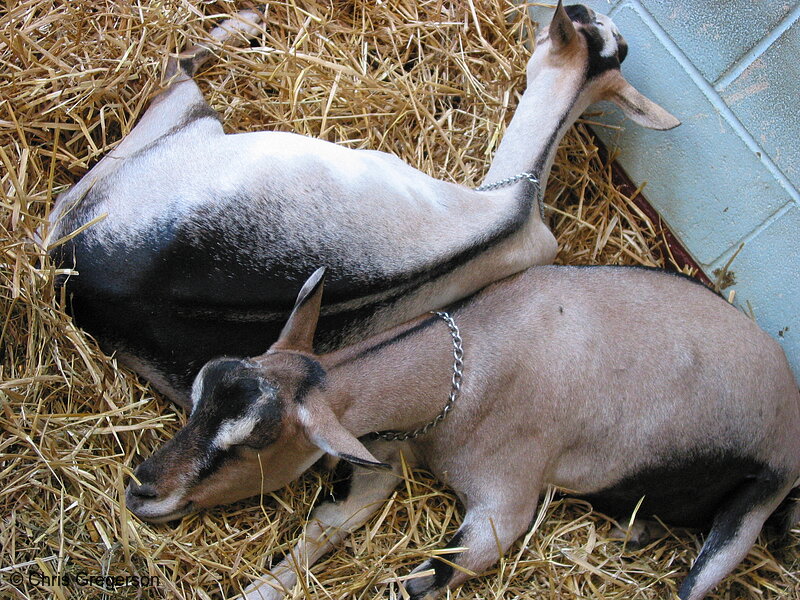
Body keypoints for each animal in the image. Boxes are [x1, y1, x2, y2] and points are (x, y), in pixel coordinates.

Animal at [39, 1, 676, 408]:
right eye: (605, 32)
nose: (582, 8)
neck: (515, 204)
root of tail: (85, 273)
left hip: (178, 132)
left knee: (175, 70)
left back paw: (247, 21)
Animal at [125, 268, 800, 600]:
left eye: (252, 440)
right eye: (199, 395)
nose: (141, 490)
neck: (468, 362)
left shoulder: (504, 501)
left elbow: (430, 578)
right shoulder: (382, 456)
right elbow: (322, 529)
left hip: (757, 493)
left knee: (703, 573)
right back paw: (633, 531)